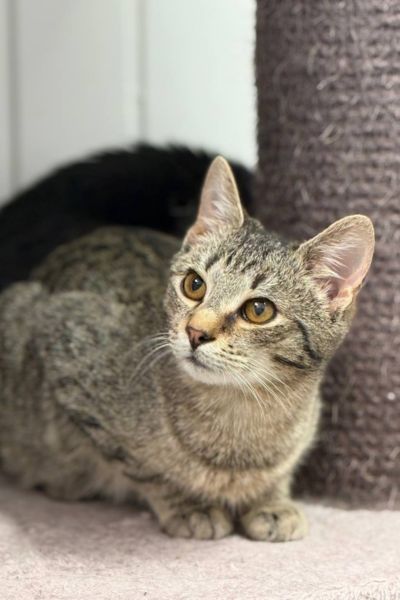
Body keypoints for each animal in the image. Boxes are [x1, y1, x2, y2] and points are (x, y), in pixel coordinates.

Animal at [0, 156, 374, 541]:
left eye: (259, 310)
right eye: (194, 285)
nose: (196, 332)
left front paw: (270, 500)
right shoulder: (63, 347)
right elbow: (146, 470)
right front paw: (189, 505)